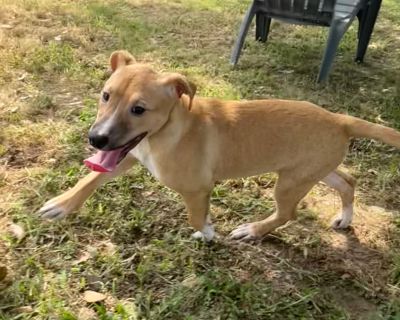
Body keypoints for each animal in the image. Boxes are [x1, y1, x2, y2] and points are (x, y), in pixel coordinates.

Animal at [39, 50, 400, 240]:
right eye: (106, 95)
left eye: (139, 109)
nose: (96, 138)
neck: (168, 131)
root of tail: (340, 119)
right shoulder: (127, 153)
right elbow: (92, 178)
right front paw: (61, 204)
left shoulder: (197, 188)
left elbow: (196, 217)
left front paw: (209, 233)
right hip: (313, 170)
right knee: (347, 181)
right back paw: (345, 218)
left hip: (291, 182)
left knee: (286, 214)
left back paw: (253, 229)